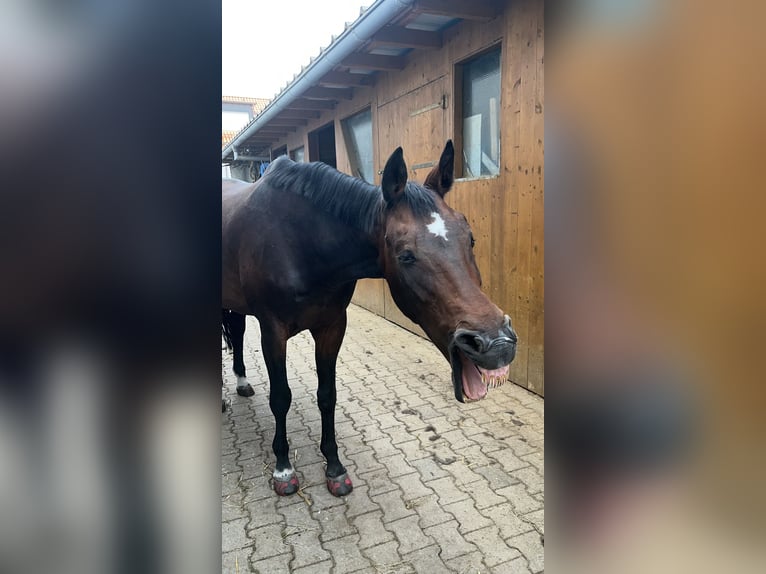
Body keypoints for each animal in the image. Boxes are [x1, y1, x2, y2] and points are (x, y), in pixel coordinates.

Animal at [224, 142, 520, 498]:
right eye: (406, 255)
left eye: (470, 238)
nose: (496, 343)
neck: (298, 243)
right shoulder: (272, 332)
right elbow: (281, 398)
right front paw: (283, 468)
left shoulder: (332, 328)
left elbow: (328, 396)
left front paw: (335, 467)